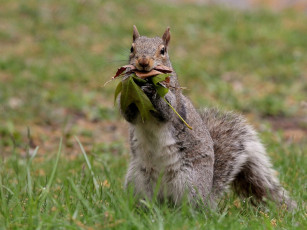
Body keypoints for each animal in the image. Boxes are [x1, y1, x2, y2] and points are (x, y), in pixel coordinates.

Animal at [119, 25, 296, 210]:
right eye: (132, 48)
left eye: (163, 50)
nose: (143, 62)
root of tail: (208, 198)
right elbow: (128, 113)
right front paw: (133, 83)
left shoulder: (175, 103)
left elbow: (167, 111)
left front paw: (152, 92)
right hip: (137, 181)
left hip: (189, 184)